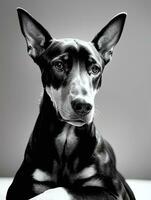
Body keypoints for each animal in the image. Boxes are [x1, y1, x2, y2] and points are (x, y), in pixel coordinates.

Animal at [6, 7, 135, 200]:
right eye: (59, 65)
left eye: (95, 69)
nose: (83, 106)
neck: (66, 139)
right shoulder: (19, 186)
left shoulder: (115, 192)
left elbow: (66, 188)